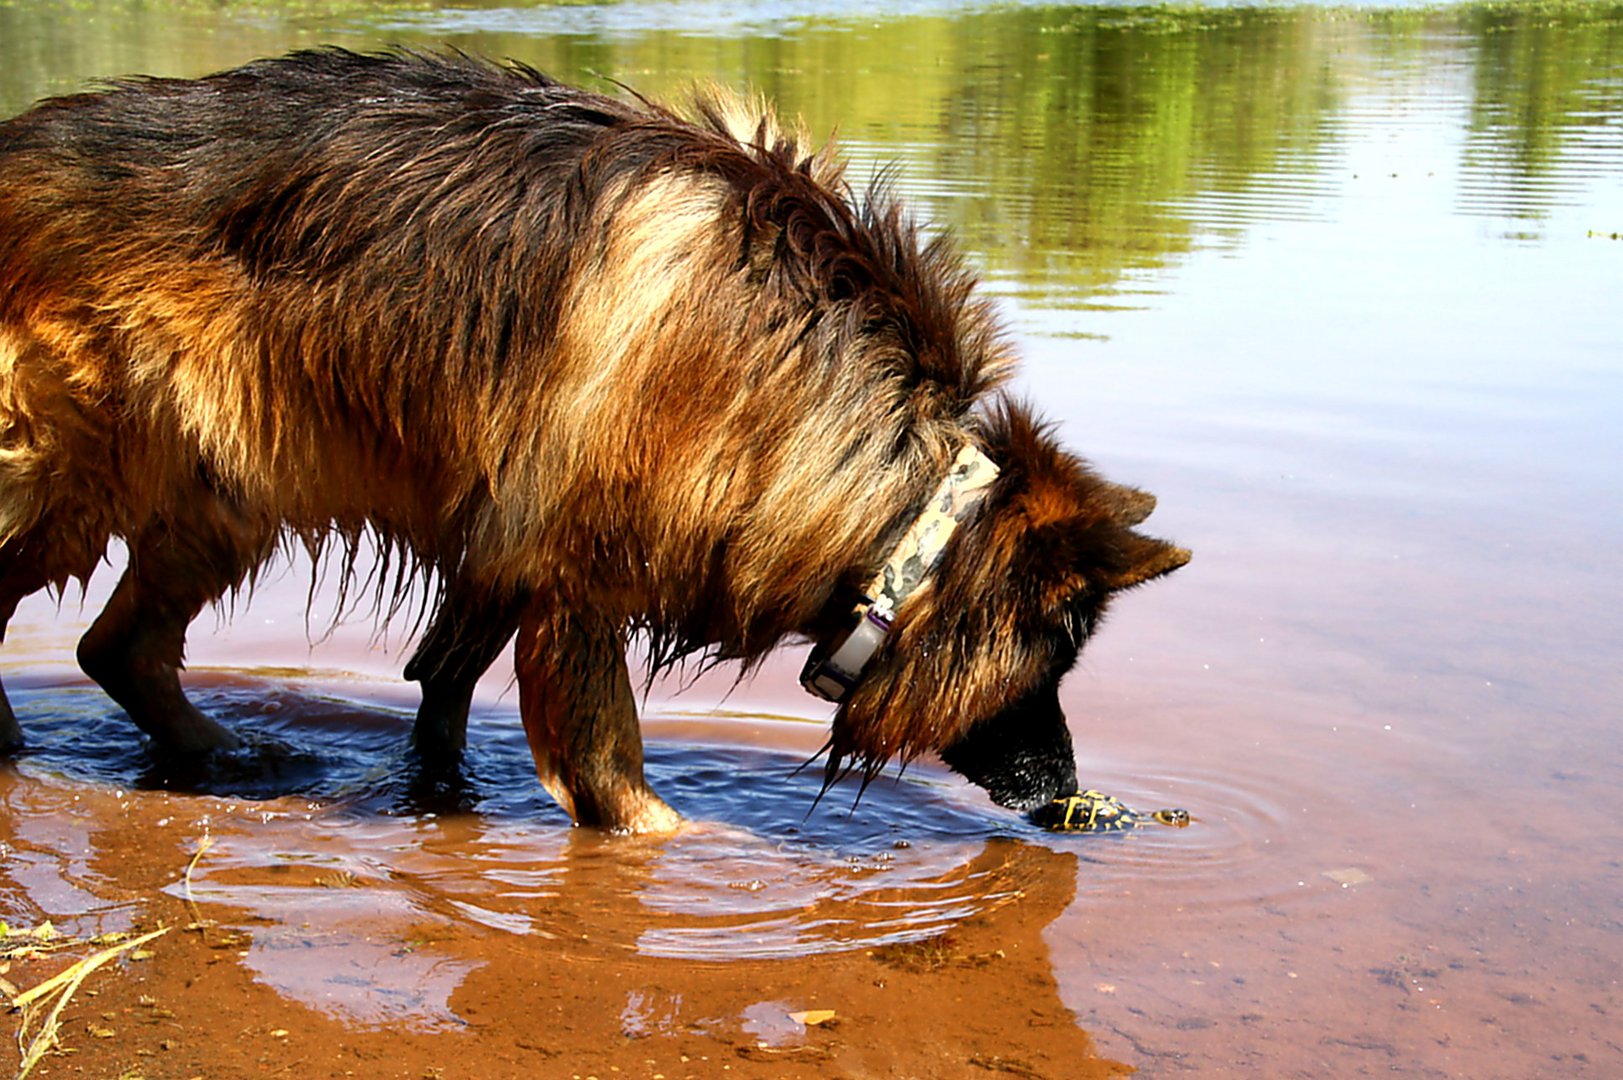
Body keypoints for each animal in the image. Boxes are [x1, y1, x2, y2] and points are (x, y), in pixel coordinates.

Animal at [0, 46, 1194, 828]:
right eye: (1056, 655)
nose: (1066, 789)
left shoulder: (498, 553)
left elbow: (439, 689)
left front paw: (440, 794)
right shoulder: (575, 589)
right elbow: (616, 780)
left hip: (225, 490)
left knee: (118, 649)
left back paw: (225, 755)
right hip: (70, 480)